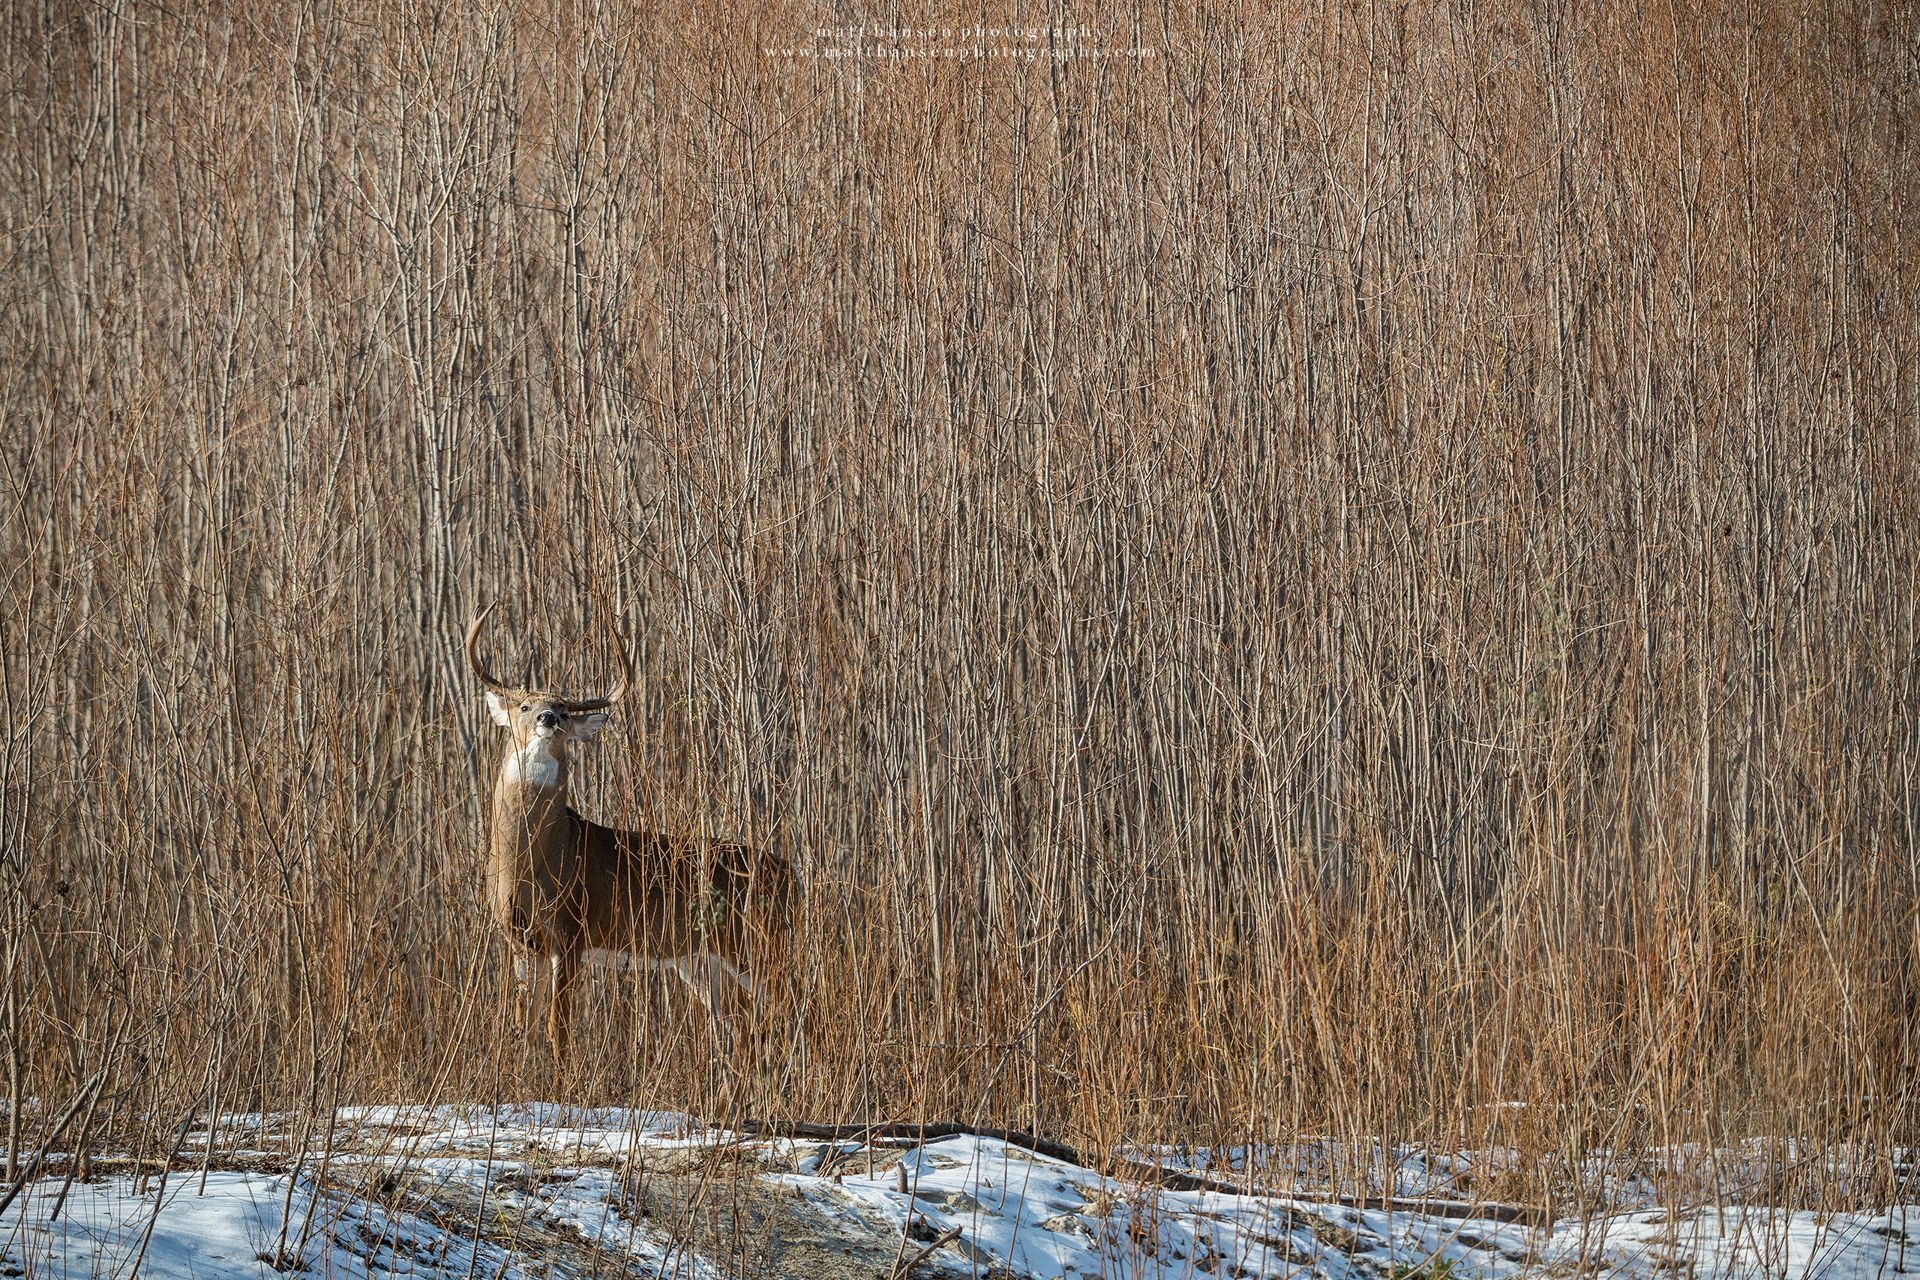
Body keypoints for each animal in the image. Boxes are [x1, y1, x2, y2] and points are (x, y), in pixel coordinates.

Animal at [466, 603, 794, 1059]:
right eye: (525, 706)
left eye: (564, 709)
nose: (549, 718)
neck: (538, 860)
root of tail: (792, 875)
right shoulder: (519, 937)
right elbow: (523, 1025)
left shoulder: (573, 929)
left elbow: (557, 1031)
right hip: (702, 960)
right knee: (744, 1026)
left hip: (758, 942)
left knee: (797, 1010)